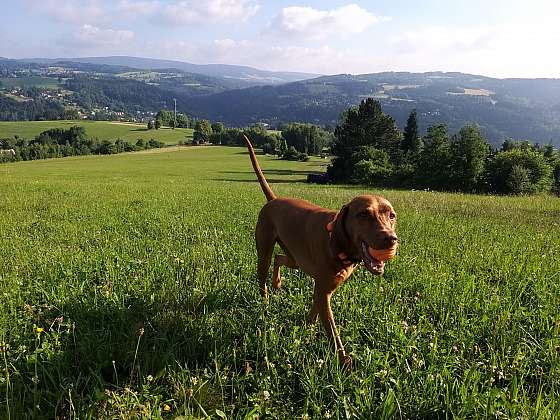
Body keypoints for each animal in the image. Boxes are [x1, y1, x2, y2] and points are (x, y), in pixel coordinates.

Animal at [243, 136, 396, 366]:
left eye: (392, 215)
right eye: (363, 214)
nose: (391, 239)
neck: (337, 243)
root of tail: (274, 199)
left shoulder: (324, 291)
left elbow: (314, 315)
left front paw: (306, 331)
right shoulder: (323, 292)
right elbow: (333, 332)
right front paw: (344, 362)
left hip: (295, 258)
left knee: (280, 258)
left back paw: (277, 283)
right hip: (264, 251)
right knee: (263, 275)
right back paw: (265, 301)